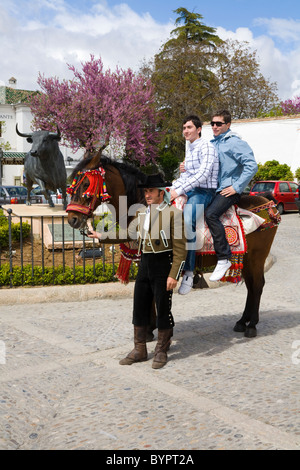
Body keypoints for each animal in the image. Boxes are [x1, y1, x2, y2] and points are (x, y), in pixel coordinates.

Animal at [67, 151, 278, 338]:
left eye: (86, 184)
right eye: (72, 186)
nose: (72, 219)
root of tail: (266, 203)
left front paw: (149, 330)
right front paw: (150, 327)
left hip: (257, 257)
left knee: (257, 285)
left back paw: (251, 325)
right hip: (248, 259)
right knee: (251, 286)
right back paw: (242, 322)